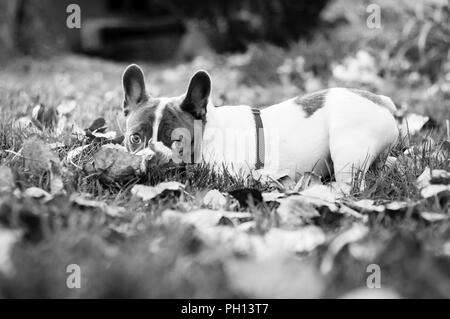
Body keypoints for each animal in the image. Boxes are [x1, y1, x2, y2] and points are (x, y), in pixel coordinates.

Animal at [121, 64, 400, 194]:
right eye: (135, 138)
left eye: (177, 140)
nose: (151, 154)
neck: (209, 131)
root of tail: (382, 100)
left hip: (346, 145)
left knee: (350, 186)